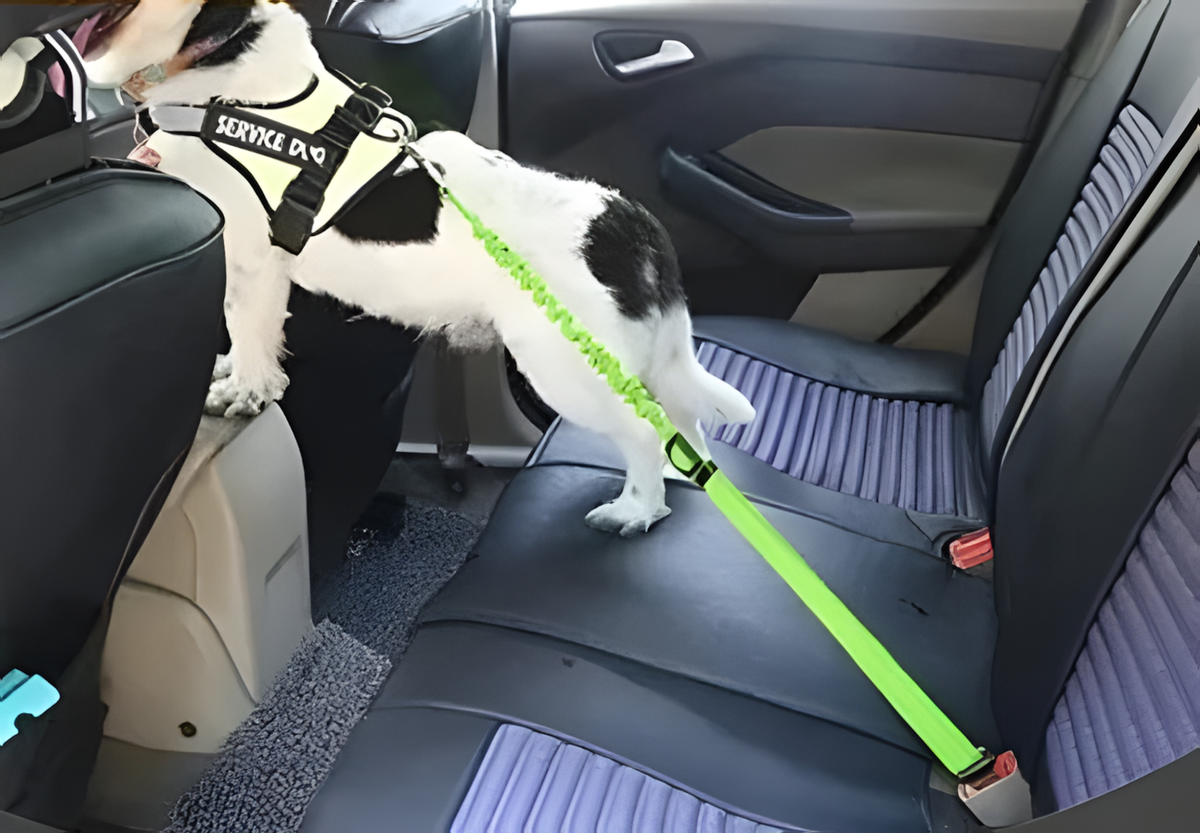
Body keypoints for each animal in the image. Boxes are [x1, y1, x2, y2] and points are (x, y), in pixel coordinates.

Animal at [80, 0, 755, 536]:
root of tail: (629, 224)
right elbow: (248, 337)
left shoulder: (249, 257)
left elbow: (249, 335)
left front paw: (245, 392)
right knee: (683, 428)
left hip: (570, 368)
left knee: (644, 435)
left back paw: (635, 509)